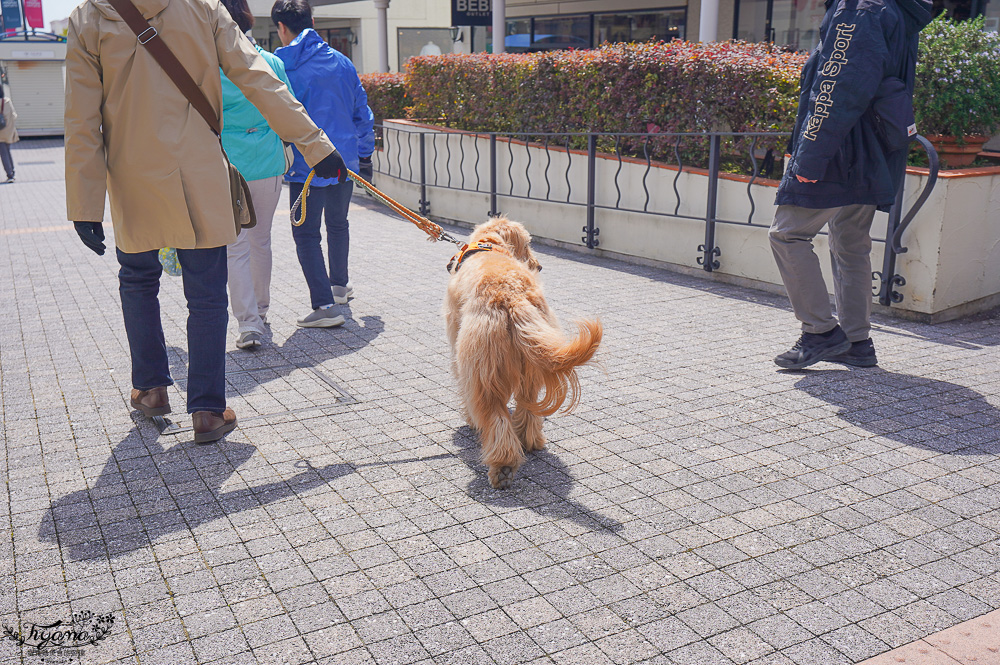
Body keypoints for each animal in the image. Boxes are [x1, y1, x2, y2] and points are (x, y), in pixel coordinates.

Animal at [446, 217, 600, 488]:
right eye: (528, 243)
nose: (539, 265)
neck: (490, 245)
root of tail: (512, 298)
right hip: (531, 365)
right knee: (527, 408)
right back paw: (529, 442)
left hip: (483, 374)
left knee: (495, 417)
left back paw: (503, 466)